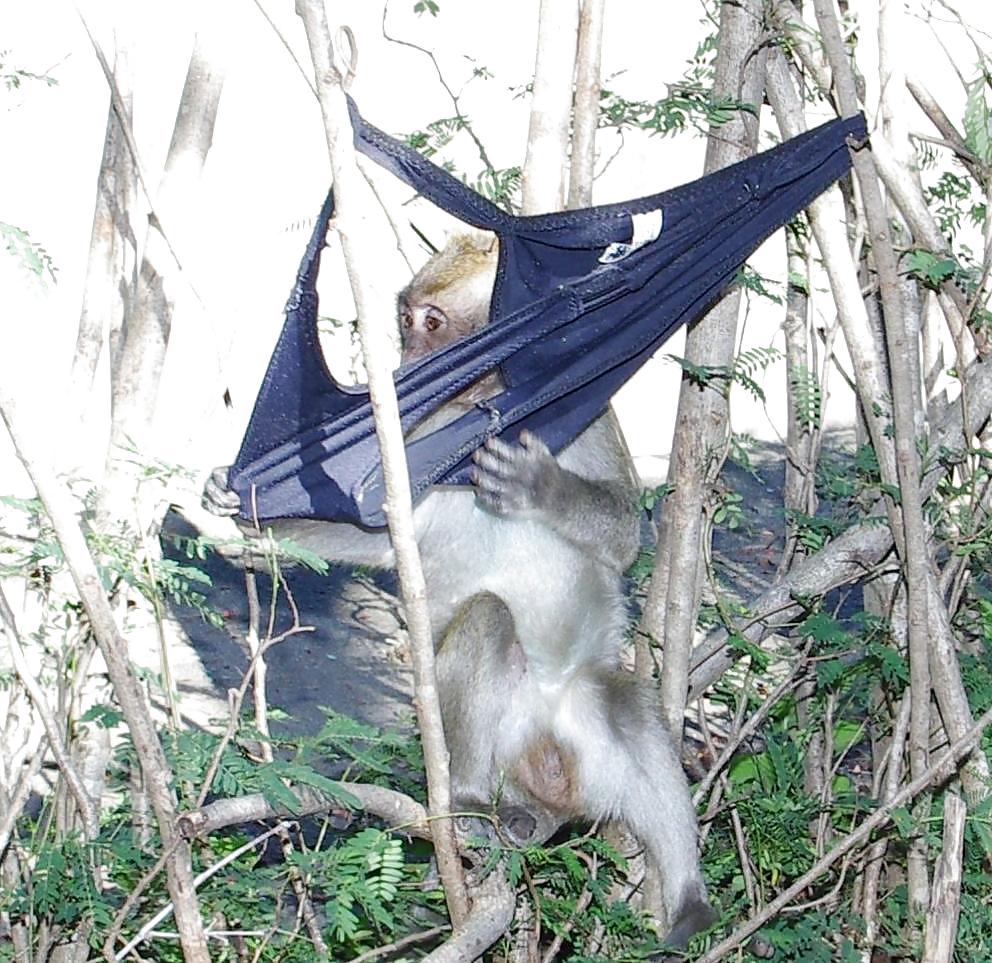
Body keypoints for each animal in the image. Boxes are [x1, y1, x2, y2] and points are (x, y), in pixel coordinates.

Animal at [203, 232, 715, 947]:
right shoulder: (414, 444)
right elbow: (379, 537)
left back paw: (688, 898)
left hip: (588, 738)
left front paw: (542, 489)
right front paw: (240, 503)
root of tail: (543, 756)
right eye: (406, 322)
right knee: (489, 623)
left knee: (627, 704)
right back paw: (471, 800)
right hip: (506, 750)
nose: (409, 362)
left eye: (433, 323)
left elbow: (622, 533)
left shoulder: (585, 417)